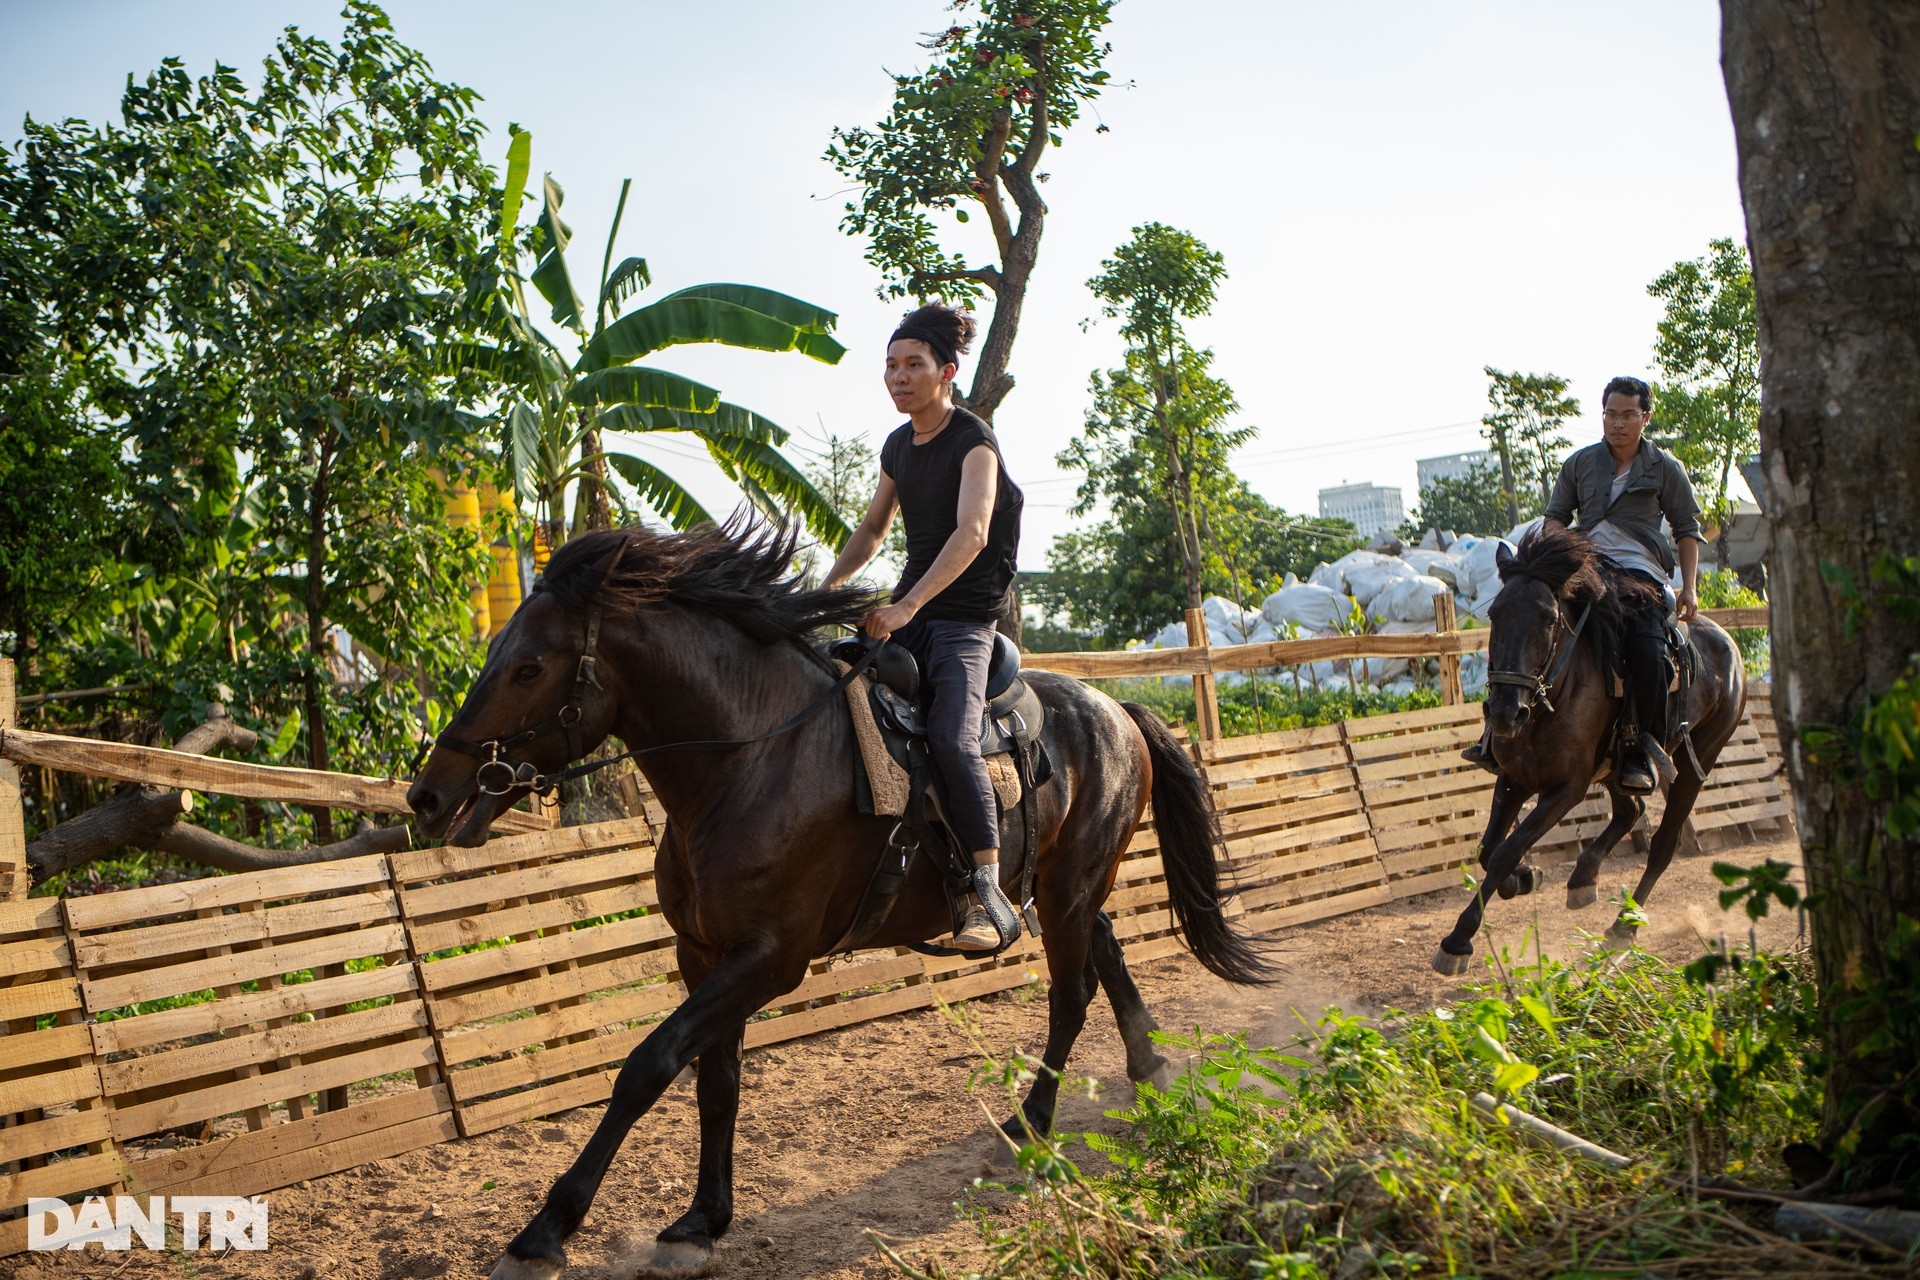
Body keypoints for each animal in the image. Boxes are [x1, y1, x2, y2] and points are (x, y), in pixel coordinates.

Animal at [407, 521, 1274, 1280]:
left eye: (528, 667)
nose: (428, 794)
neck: (750, 759)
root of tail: (1115, 709)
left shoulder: (771, 959)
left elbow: (649, 1064)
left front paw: (546, 1230)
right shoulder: (705, 954)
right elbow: (716, 1080)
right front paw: (700, 1222)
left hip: (1066, 890)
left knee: (1071, 993)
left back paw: (1030, 1125)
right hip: (1067, 884)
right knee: (1107, 950)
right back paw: (1150, 1068)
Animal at [1436, 525, 1751, 974]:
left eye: (1549, 619)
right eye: (1495, 614)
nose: (1505, 712)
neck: (1551, 698)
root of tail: (1728, 645)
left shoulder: (1568, 788)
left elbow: (1505, 851)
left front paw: (1457, 941)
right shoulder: (1514, 779)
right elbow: (1489, 850)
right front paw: (1524, 878)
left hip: (1696, 762)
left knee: (1662, 845)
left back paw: (1623, 927)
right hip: (1618, 765)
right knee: (1630, 810)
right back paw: (1584, 878)